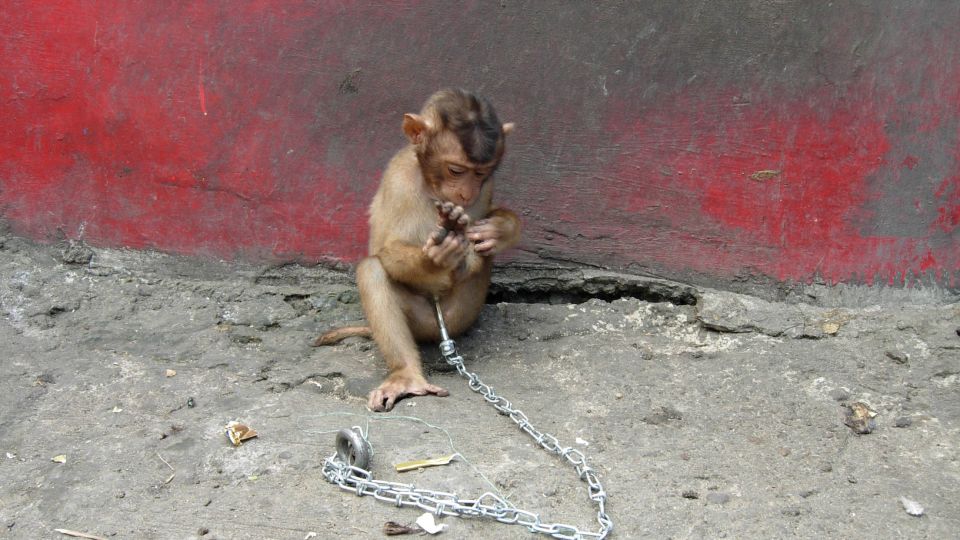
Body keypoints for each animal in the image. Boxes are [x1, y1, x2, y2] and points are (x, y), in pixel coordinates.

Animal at [316, 88, 520, 412]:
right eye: (456, 170)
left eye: (481, 174)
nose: (466, 194)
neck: (431, 184)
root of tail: (442, 334)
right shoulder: (398, 179)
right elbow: (386, 248)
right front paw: (436, 258)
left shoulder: (488, 188)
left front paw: (498, 230)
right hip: (422, 324)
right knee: (372, 268)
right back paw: (406, 375)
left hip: (461, 314)